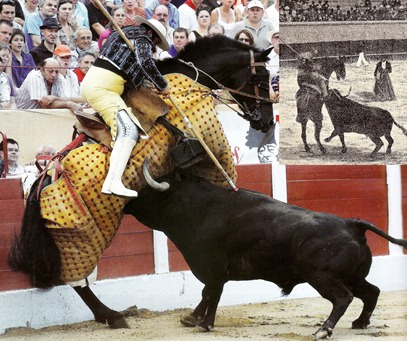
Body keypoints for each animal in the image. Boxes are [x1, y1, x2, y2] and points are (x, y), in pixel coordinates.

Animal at [7, 36, 274, 330]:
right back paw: (112, 316)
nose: (266, 121)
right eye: (262, 77)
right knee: (78, 281)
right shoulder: (213, 147)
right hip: (79, 237)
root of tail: (39, 184)